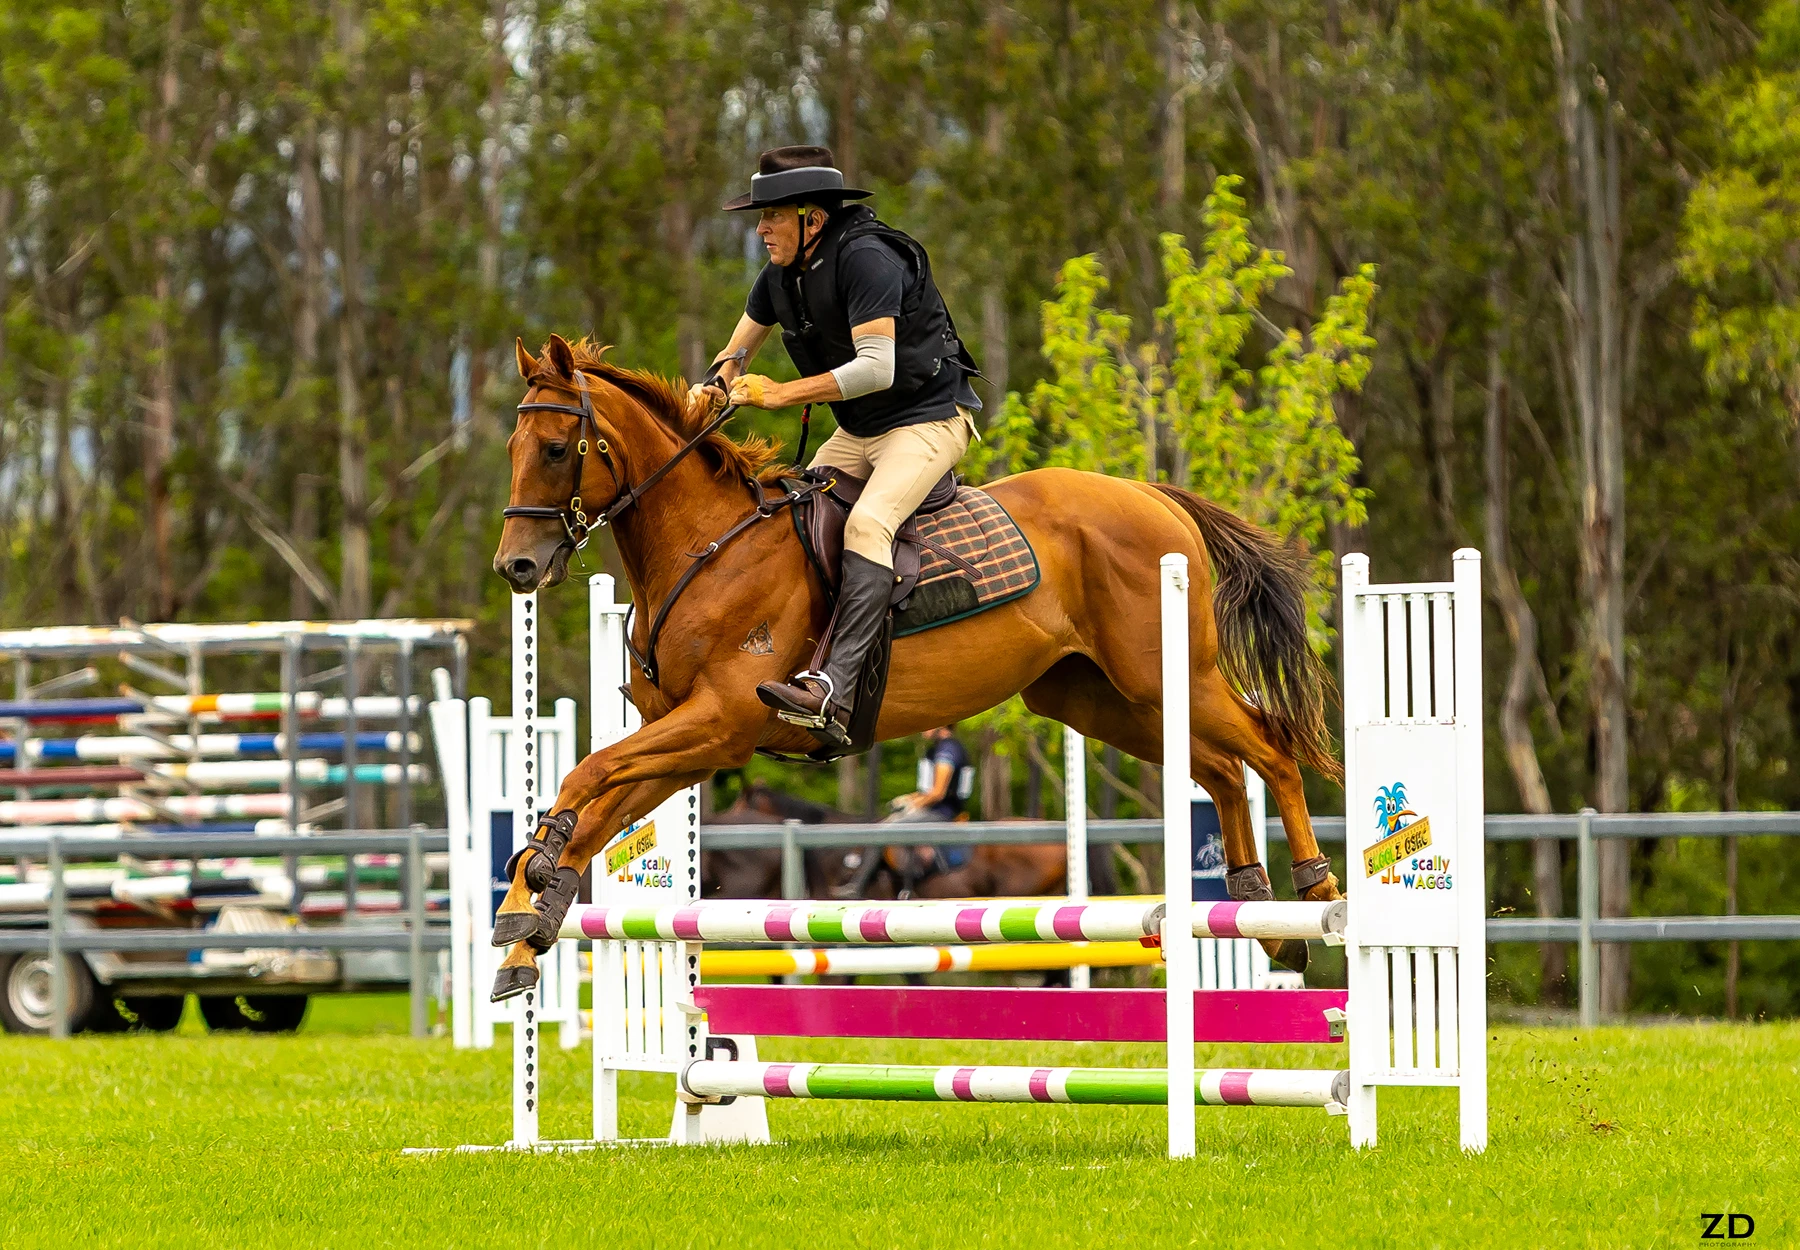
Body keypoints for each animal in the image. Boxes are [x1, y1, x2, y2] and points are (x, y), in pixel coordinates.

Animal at [487, 334, 1342, 1001]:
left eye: (557, 450)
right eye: (512, 451)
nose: (516, 568)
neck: (707, 546)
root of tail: (1151, 496)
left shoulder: (721, 721)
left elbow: (586, 777)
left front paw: (531, 874)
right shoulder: (688, 741)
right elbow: (601, 809)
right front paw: (530, 922)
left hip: (1168, 679)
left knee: (1272, 749)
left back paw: (1315, 892)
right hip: (1100, 701)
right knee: (1223, 770)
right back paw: (1264, 915)